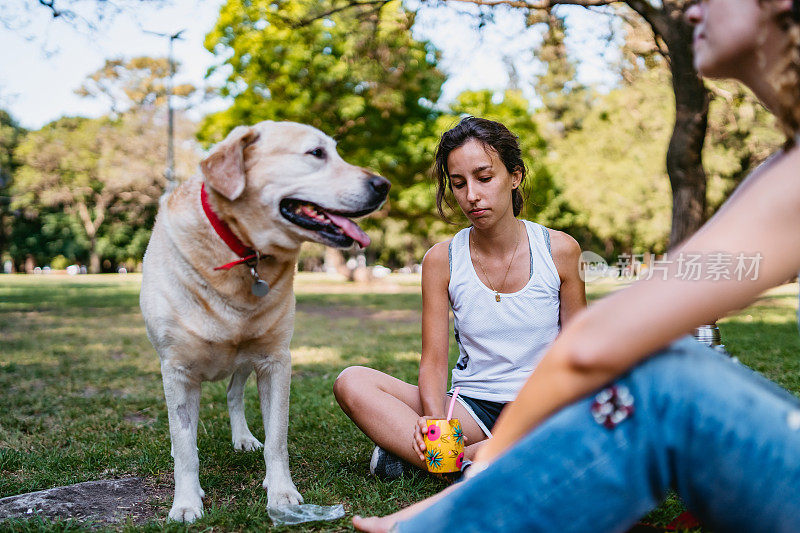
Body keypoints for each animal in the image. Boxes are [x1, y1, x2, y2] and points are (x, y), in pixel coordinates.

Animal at [141, 119, 390, 520]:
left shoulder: (275, 361)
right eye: (316, 153)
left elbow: (277, 438)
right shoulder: (176, 369)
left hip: (246, 359)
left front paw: (282, 493)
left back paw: (243, 437)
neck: (243, 255)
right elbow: (186, 447)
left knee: (233, 392)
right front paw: (186, 502)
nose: (384, 185)